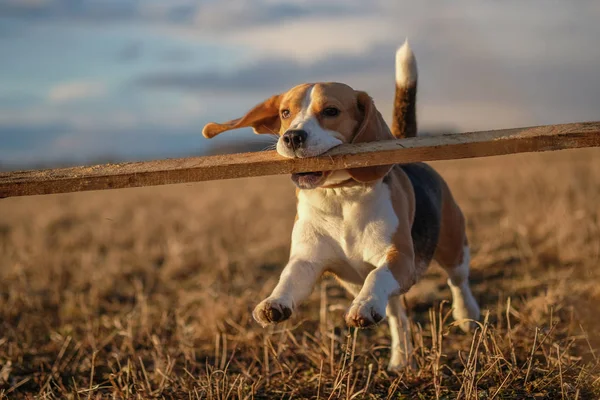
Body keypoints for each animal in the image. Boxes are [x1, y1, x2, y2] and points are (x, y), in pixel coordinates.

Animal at [204, 40, 480, 368]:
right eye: (285, 113)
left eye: (331, 111)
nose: (292, 137)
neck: (340, 197)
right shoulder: (307, 258)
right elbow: (288, 278)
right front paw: (275, 302)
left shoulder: (399, 256)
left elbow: (377, 274)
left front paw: (362, 306)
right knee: (396, 316)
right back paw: (400, 358)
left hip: (453, 243)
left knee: (458, 281)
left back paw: (466, 316)